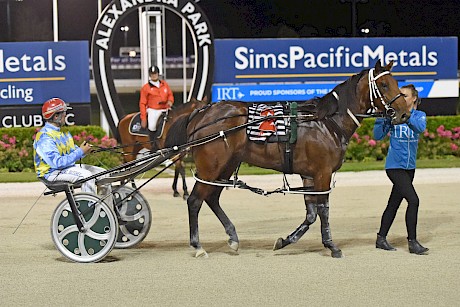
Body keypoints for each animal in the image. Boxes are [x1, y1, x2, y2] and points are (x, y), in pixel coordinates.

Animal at [167, 60, 412, 258]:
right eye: (384, 85)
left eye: (395, 82)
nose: (404, 113)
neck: (327, 122)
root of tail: (200, 113)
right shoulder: (323, 173)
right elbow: (323, 210)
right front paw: (332, 246)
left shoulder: (309, 175)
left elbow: (311, 214)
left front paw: (284, 241)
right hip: (211, 167)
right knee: (195, 201)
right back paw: (198, 246)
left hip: (225, 167)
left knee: (212, 198)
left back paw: (233, 238)